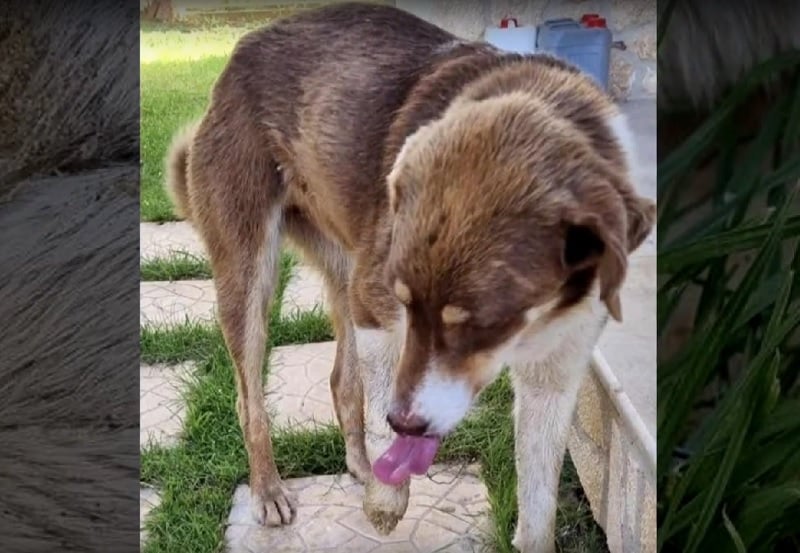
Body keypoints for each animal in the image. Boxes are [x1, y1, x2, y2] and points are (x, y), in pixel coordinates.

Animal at [164, 2, 656, 548]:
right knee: (249, 399)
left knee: (341, 381)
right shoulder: (377, 307)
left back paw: (359, 466)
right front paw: (385, 502)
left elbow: (538, 511)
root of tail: (241, 50)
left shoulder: (555, 375)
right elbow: (385, 418)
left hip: (344, 268)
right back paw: (270, 489)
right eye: (408, 303)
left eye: (483, 323)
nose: (412, 422)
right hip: (254, 274)